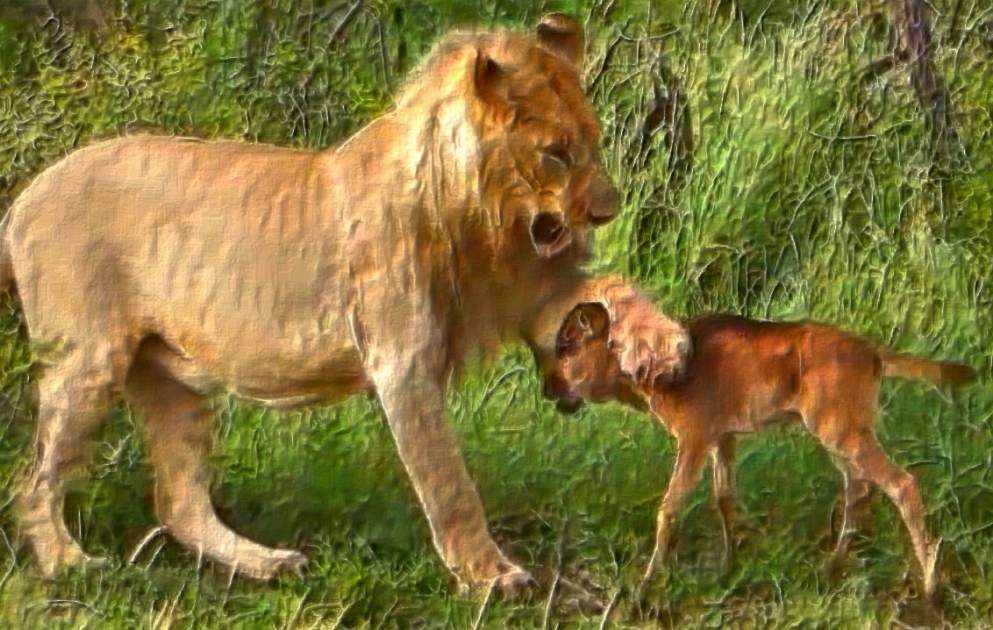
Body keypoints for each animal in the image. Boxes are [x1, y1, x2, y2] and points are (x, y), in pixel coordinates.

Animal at [0, 14, 690, 594]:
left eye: (593, 142)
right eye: (555, 153)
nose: (606, 212)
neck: (489, 224)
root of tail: (23, 197)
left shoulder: (535, 294)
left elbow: (609, 293)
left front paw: (664, 342)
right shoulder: (401, 358)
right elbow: (449, 482)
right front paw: (492, 576)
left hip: (168, 377)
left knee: (179, 500)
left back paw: (268, 563)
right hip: (87, 360)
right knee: (33, 481)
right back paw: (68, 564)